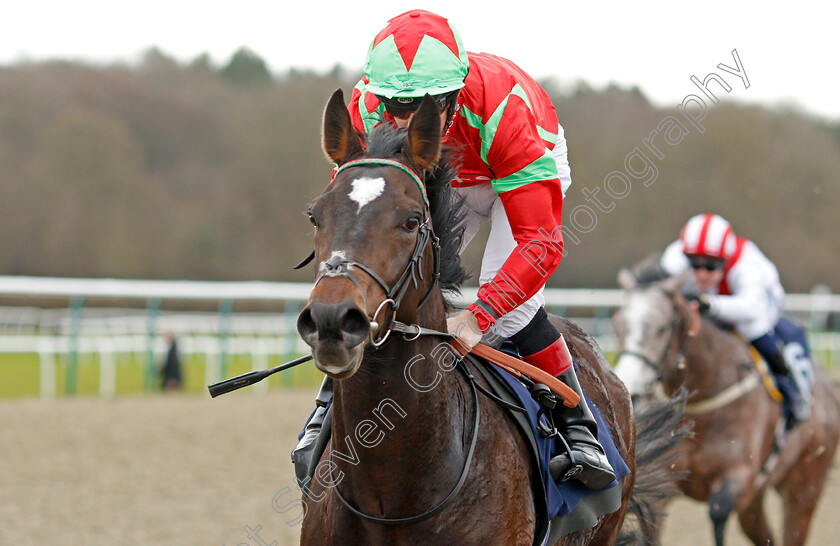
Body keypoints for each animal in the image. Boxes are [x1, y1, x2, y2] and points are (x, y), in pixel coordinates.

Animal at [612, 270, 840, 540]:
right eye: (617, 325)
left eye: (661, 328)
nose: (630, 387)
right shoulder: (661, 481)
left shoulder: (739, 478)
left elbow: (718, 512)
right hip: (754, 502)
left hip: (805, 485)